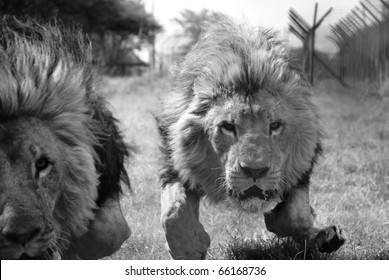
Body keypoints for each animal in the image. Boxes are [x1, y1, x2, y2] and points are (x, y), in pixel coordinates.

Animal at [155, 14, 346, 260]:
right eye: (228, 127)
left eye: (275, 126)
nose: (255, 171)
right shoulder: (175, 162)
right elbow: (173, 214)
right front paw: (192, 247)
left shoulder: (302, 165)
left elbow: (295, 217)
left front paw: (296, 224)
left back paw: (328, 237)